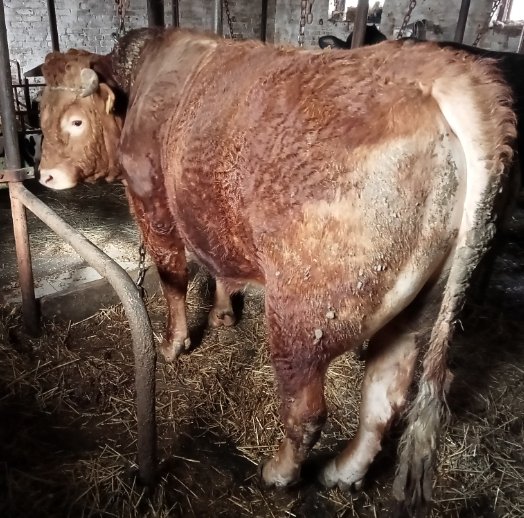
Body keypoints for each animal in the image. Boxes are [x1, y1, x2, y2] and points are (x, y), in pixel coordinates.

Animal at [37, 28, 515, 516]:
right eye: (40, 111)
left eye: (75, 121)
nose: (46, 175)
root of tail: (442, 69)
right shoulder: (211, 217)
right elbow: (219, 266)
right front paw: (223, 314)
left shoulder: (153, 206)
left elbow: (173, 279)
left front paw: (173, 344)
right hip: (416, 308)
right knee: (384, 399)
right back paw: (344, 472)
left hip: (301, 317)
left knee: (307, 411)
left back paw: (279, 472)